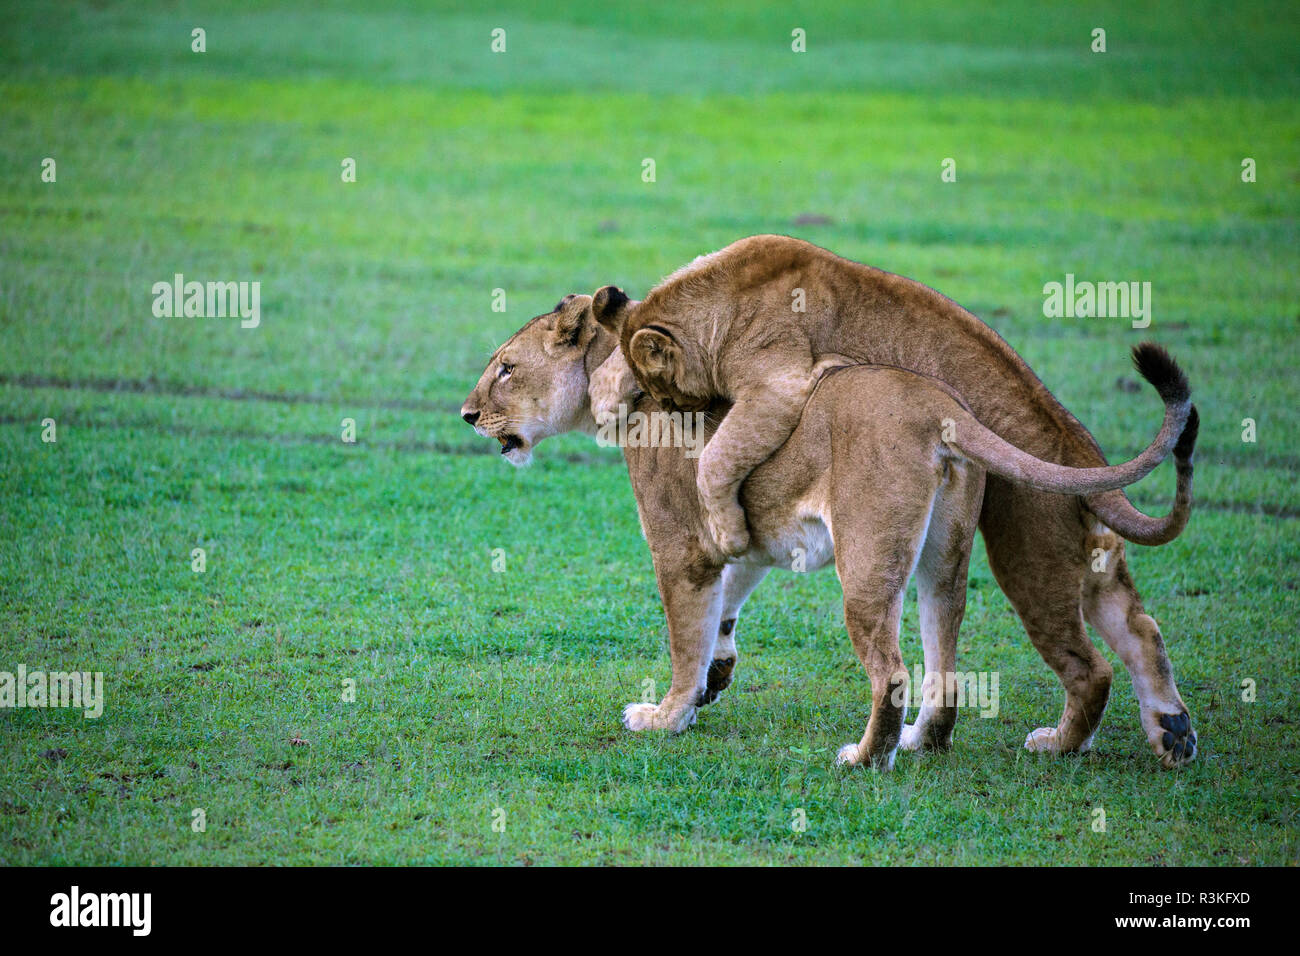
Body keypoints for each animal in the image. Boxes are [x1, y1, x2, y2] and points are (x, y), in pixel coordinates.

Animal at [462, 293, 1201, 770]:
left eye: (506, 366)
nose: (467, 414)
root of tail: (939, 407)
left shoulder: (680, 547)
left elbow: (683, 638)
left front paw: (667, 715)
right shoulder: (740, 536)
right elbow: (722, 612)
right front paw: (713, 681)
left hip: (881, 563)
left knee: (907, 670)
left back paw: (869, 757)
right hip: (943, 561)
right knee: (1006, 651)